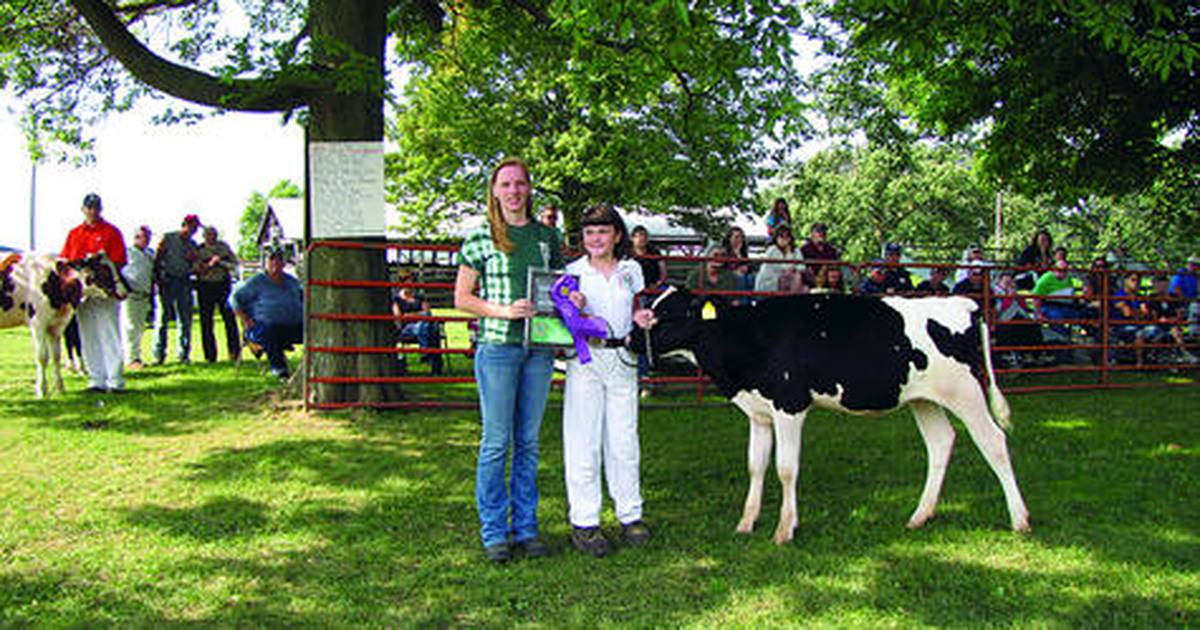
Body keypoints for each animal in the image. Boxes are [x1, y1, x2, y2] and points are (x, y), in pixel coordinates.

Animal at [1, 252, 127, 396]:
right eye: (103, 270)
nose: (124, 291)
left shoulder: (56, 326)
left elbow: (56, 356)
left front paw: (60, 387)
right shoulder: (38, 323)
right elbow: (42, 356)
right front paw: (42, 389)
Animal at [628, 286, 1032, 542]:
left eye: (667, 313)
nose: (630, 339)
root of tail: (966, 305)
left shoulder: (790, 405)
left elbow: (785, 469)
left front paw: (785, 529)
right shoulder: (758, 413)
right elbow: (755, 466)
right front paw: (746, 522)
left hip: (966, 392)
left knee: (994, 442)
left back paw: (1019, 519)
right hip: (924, 399)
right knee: (941, 443)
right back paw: (920, 516)